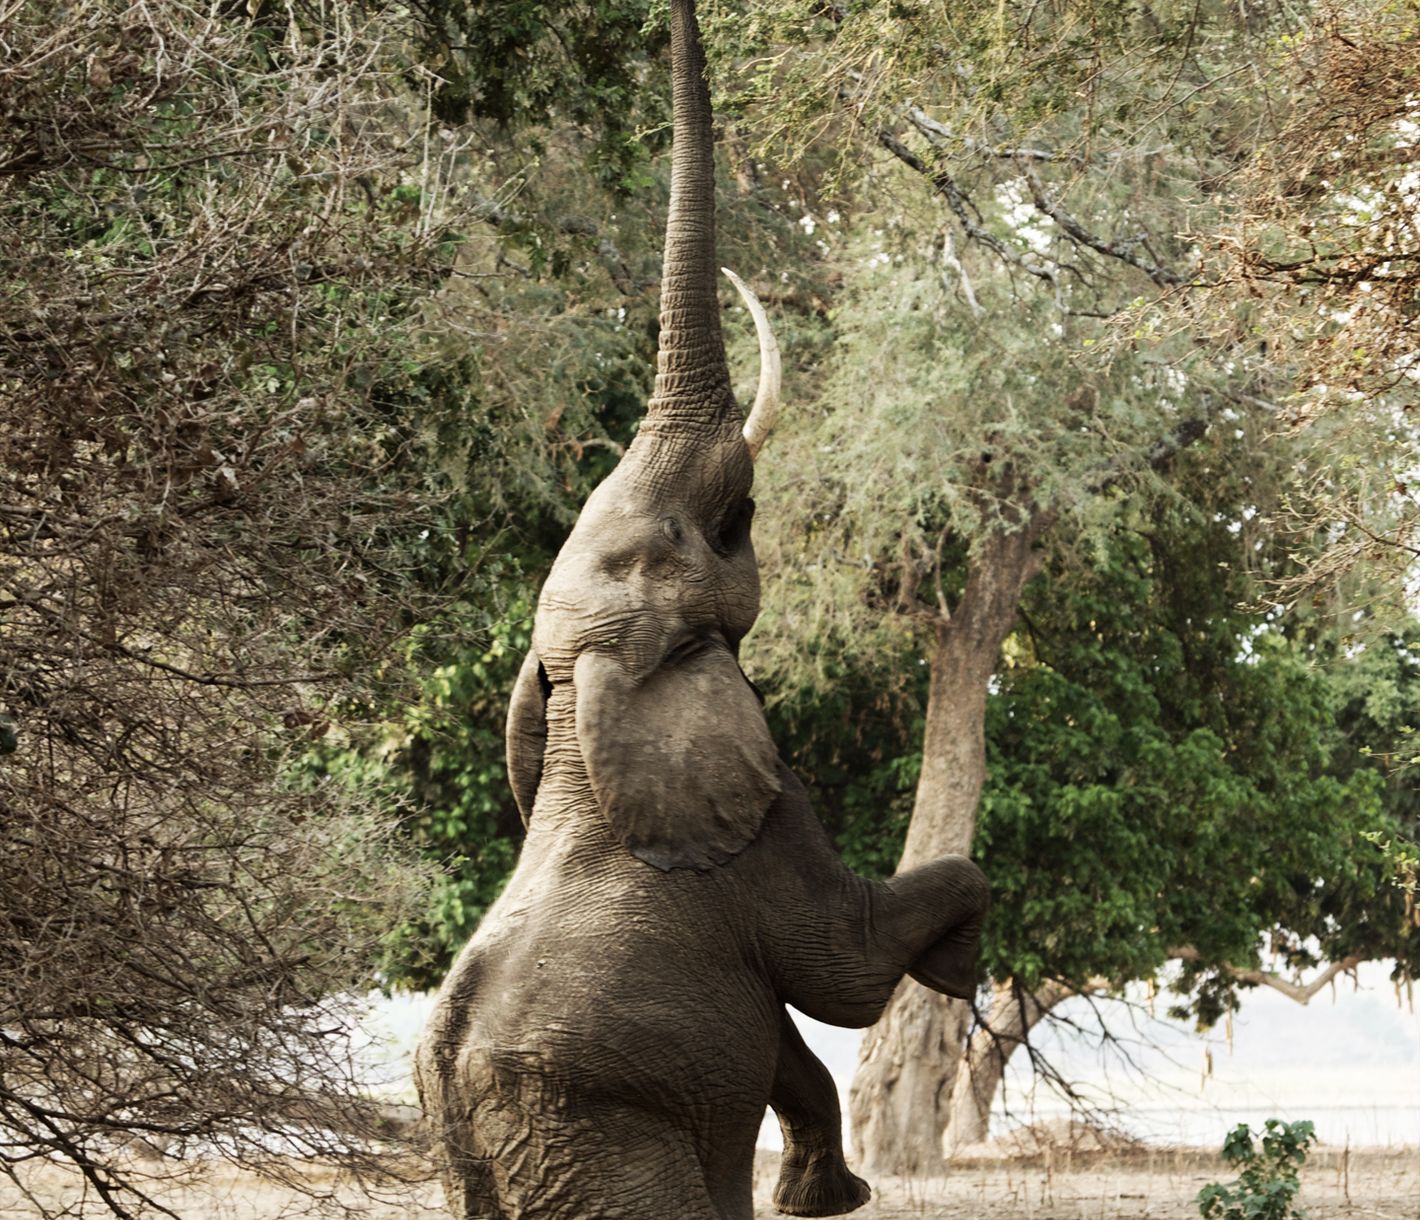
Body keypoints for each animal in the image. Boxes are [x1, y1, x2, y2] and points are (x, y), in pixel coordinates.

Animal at [415, 3, 990, 1217]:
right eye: (729, 522)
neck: (589, 701)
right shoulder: (762, 827)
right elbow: (841, 963)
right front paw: (956, 973)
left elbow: (791, 1035)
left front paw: (825, 1191)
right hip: (601, 1151)